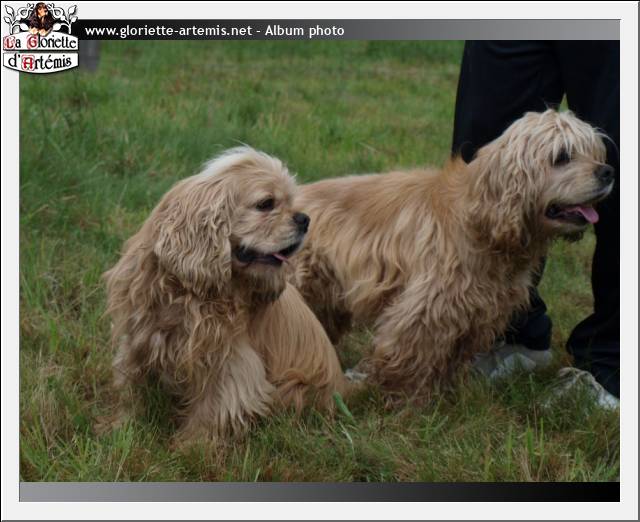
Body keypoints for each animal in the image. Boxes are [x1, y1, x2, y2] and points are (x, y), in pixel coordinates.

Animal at [104, 147, 348, 442]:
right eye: (266, 204)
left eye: (292, 203)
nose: (304, 219)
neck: (185, 290)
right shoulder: (138, 337)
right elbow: (130, 387)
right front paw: (122, 427)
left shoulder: (229, 362)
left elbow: (210, 410)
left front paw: (192, 446)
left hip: (293, 388)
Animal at [292, 110, 614, 401]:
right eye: (562, 156)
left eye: (594, 152)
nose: (608, 172)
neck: (478, 219)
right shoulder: (426, 308)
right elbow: (411, 358)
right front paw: (407, 401)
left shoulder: (479, 310)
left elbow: (453, 358)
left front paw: (448, 393)